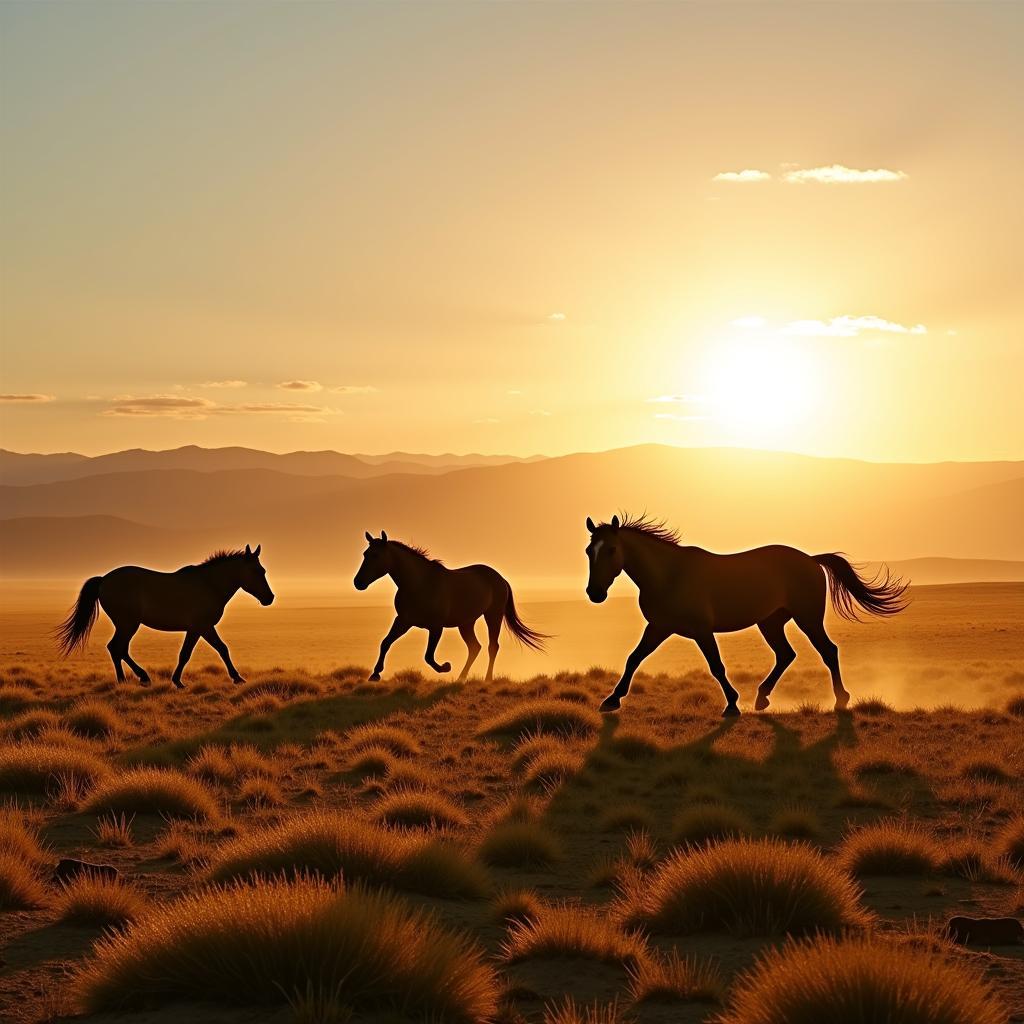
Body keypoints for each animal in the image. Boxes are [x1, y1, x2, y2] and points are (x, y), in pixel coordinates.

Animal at [55, 544, 272, 688]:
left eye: (263, 570)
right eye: (257, 571)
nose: (269, 598)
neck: (209, 585)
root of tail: (103, 580)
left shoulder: (195, 629)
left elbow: (186, 654)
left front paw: (177, 680)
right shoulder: (203, 627)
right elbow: (219, 649)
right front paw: (237, 678)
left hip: (126, 625)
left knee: (118, 649)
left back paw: (131, 678)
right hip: (128, 624)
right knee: (116, 648)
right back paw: (136, 678)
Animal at [354, 532, 548, 684]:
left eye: (376, 555)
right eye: (365, 554)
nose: (358, 582)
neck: (419, 584)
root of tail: (500, 578)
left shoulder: (435, 627)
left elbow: (428, 656)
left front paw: (445, 667)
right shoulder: (403, 621)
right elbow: (385, 642)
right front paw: (375, 674)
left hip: (493, 616)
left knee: (492, 646)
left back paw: (487, 679)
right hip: (466, 623)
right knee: (475, 647)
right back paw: (461, 678)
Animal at [585, 512, 913, 720]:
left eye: (611, 549)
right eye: (590, 550)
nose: (594, 593)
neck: (669, 574)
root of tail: (811, 560)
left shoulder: (701, 630)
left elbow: (717, 666)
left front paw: (732, 705)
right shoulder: (659, 627)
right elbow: (634, 658)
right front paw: (611, 700)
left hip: (807, 618)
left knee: (827, 650)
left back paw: (841, 699)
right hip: (770, 622)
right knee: (786, 654)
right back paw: (762, 697)